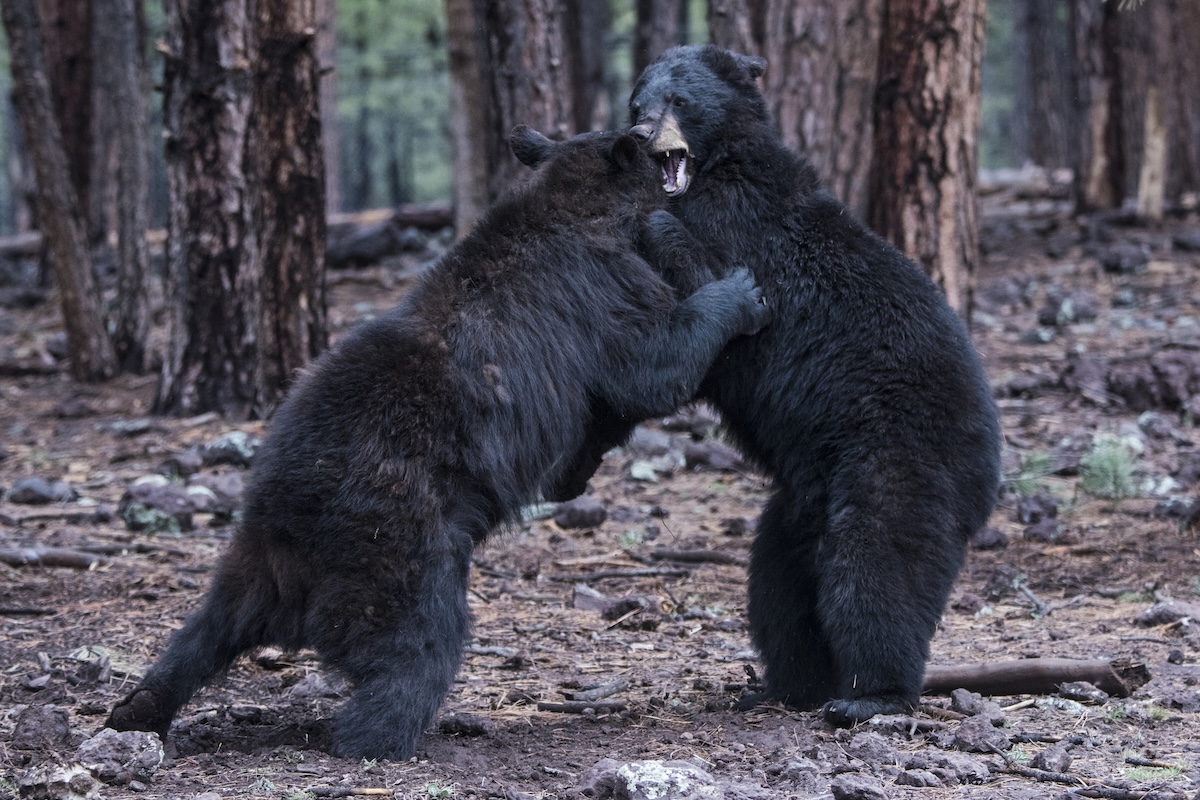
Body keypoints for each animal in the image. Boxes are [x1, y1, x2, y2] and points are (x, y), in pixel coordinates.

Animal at [105, 125, 771, 760]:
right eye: (651, 149)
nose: (662, 136)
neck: (582, 204)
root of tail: (289, 534)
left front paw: (574, 472)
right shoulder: (600, 291)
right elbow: (653, 361)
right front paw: (740, 293)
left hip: (247, 566)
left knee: (200, 635)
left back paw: (138, 709)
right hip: (403, 542)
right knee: (421, 640)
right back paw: (386, 736)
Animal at [615, 45, 1002, 726]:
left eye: (679, 99)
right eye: (638, 99)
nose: (641, 133)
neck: (717, 169)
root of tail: (991, 464)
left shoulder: (743, 231)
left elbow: (712, 282)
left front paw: (652, 222)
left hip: (895, 458)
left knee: (875, 566)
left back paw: (870, 694)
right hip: (800, 501)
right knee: (778, 588)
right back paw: (786, 683)